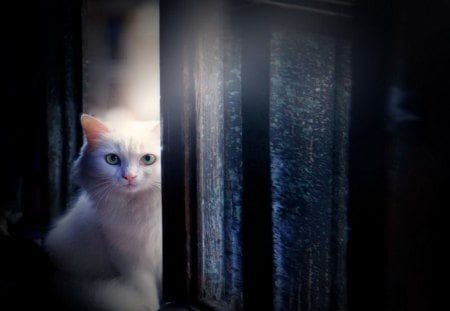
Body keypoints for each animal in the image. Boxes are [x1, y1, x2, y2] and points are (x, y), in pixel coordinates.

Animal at [44, 114, 163, 311]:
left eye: (148, 159)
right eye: (112, 159)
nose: (129, 177)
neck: (139, 208)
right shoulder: (128, 258)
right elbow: (145, 289)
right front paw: (150, 306)